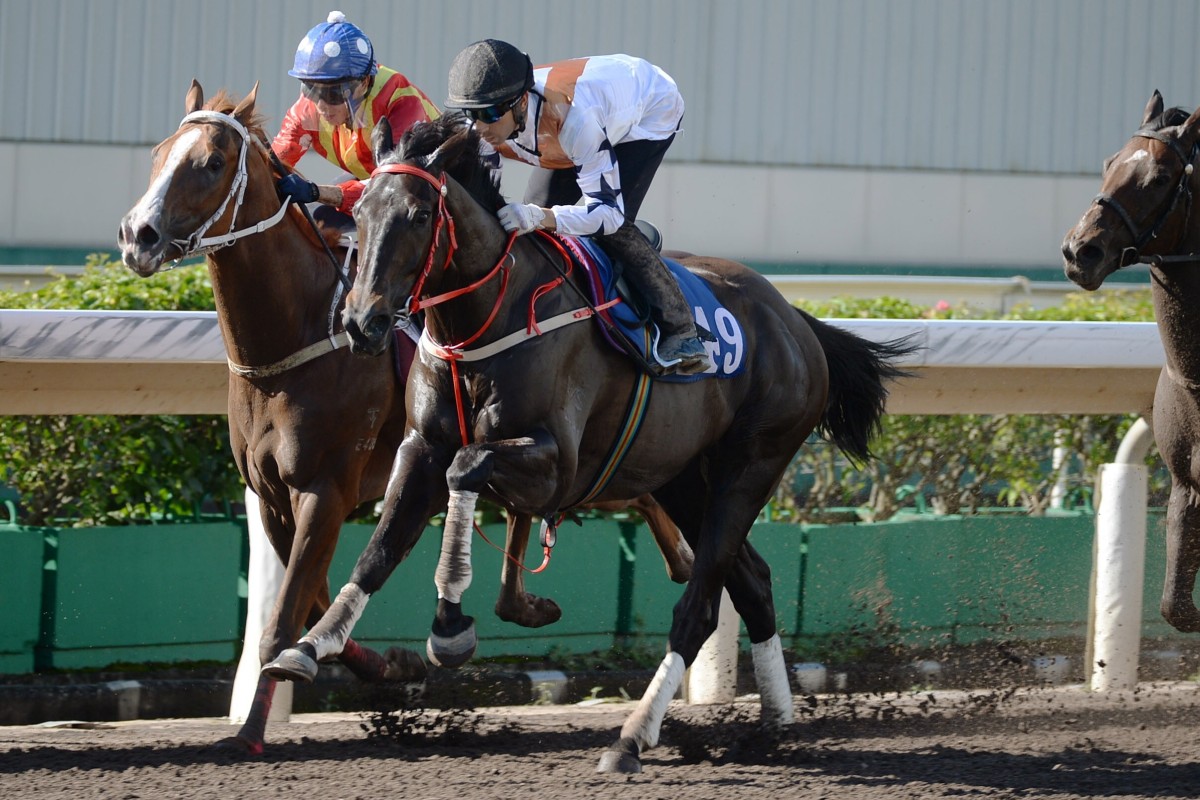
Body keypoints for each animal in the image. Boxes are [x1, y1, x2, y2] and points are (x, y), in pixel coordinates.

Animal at [114, 84, 696, 753]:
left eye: (210, 163)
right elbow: (309, 600)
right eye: (158, 154)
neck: (295, 338)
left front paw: (251, 736)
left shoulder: (325, 489)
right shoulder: (272, 497)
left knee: (630, 482)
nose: (138, 235)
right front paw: (390, 665)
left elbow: (285, 617)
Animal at [262, 115, 912, 772]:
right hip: (681, 478)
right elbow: (380, 548)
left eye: (420, 216)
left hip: (752, 465)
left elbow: (466, 468)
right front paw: (309, 647)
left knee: (698, 607)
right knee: (752, 581)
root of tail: (797, 321)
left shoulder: (557, 465)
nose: (360, 323)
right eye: (360, 211)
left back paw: (632, 737)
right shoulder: (420, 446)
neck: (485, 320)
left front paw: (450, 625)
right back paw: (775, 723)